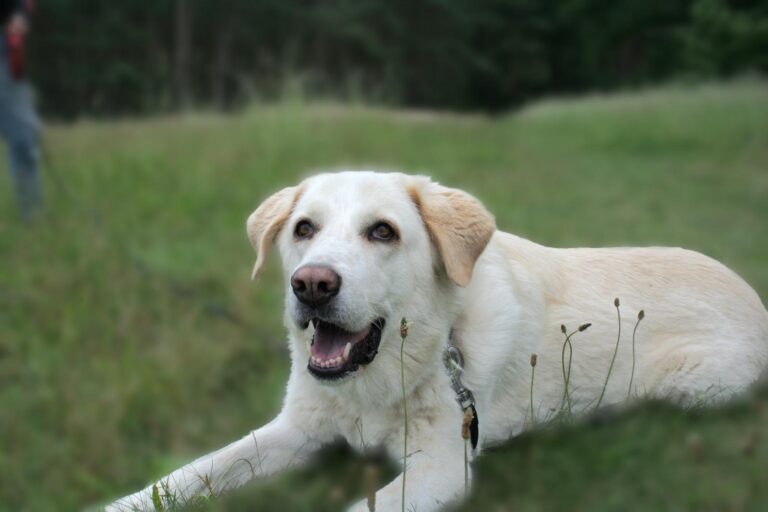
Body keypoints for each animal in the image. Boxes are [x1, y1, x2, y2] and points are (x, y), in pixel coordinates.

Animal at [108, 171, 768, 508]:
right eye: (303, 229)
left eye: (382, 232)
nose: (312, 285)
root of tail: (754, 295)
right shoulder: (295, 432)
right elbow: (187, 475)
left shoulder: (443, 467)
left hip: (695, 388)